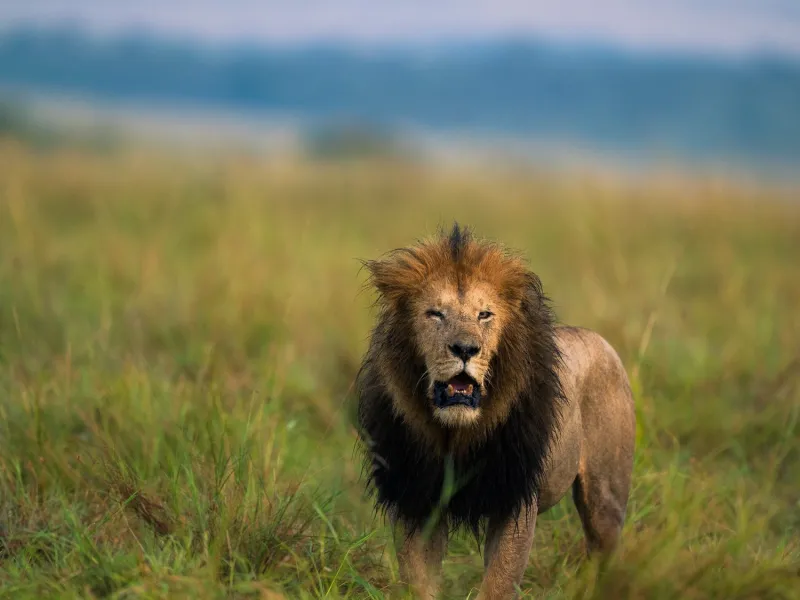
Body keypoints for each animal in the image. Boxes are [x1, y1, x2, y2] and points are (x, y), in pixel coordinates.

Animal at [355, 224, 636, 599]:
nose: (465, 349)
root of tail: (598, 340)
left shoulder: (514, 499)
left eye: (484, 314)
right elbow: (418, 581)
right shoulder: (415, 499)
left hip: (606, 497)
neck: (455, 434)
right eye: (435, 313)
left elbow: (499, 582)